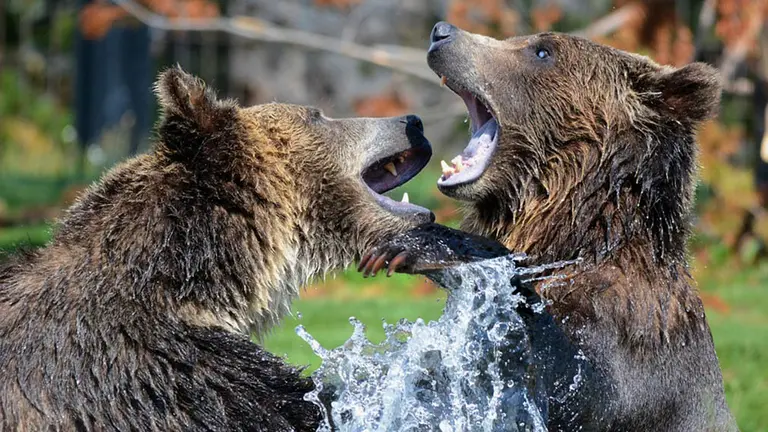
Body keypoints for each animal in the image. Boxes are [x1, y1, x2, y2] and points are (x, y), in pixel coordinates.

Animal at [360, 23, 739, 432]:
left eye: (542, 51)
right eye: (518, 39)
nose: (442, 32)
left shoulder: (632, 340)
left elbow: (574, 380)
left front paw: (417, 245)